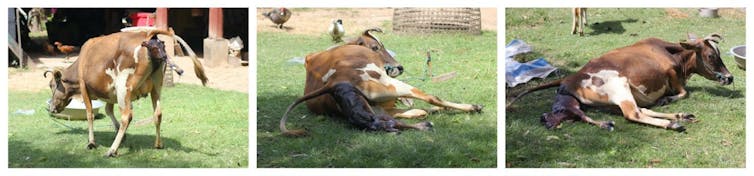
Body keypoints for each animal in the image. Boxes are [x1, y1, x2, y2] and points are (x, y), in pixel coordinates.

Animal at [45, 29, 207, 157]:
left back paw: (112, 150)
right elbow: (108, 110)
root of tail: (147, 34)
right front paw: (120, 134)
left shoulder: (85, 88)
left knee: (127, 116)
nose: (51, 108)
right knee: (158, 113)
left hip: (124, 87)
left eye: (51, 85)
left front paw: (91, 142)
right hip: (156, 87)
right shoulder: (111, 94)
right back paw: (158, 144)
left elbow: (90, 114)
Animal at [278, 27, 482, 136]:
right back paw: (471, 107)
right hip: (390, 85)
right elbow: (426, 104)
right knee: (432, 98)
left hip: (373, 109)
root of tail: (333, 83)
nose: (400, 67)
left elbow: (416, 110)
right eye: (376, 46)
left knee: (390, 121)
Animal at [508, 33, 732, 132]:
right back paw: (672, 123)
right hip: (620, 86)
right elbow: (684, 92)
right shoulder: (670, 73)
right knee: (634, 113)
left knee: (642, 110)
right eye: (711, 55)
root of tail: (569, 77)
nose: (730, 77)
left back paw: (680, 116)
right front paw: (667, 100)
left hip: (613, 100)